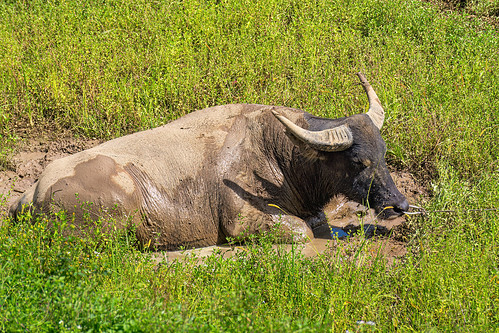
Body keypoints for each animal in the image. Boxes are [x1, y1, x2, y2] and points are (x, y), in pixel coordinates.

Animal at [10, 73, 410, 249]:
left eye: (383, 154)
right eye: (357, 161)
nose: (400, 205)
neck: (281, 157)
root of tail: (32, 194)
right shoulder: (241, 219)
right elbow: (303, 231)